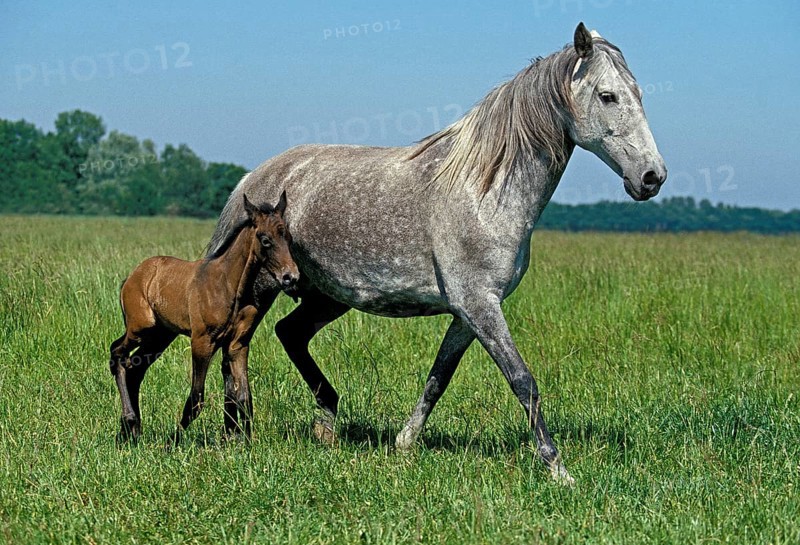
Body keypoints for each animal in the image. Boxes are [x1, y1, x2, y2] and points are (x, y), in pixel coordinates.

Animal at [109, 192, 299, 443]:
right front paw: (172, 441)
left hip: (160, 336)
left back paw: (133, 431)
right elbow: (196, 398)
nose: (291, 277)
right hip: (141, 329)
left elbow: (244, 397)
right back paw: (129, 421)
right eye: (265, 239)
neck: (229, 285)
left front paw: (247, 442)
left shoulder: (237, 345)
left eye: (288, 237)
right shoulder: (202, 342)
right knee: (117, 354)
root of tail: (132, 277)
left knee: (135, 368)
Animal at [205, 23, 667, 483]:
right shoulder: (479, 306)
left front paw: (404, 444)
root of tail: (254, 178)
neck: (486, 190)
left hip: (327, 296)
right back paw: (236, 434)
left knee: (290, 334)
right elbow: (523, 380)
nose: (652, 177)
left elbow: (438, 377)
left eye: (638, 94)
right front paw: (557, 468)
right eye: (608, 96)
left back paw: (324, 424)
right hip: (264, 288)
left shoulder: (468, 313)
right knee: (235, 347)